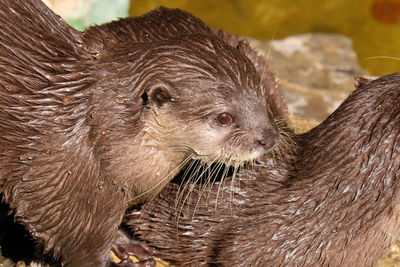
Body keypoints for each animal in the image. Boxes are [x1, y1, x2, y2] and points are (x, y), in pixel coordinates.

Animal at [0, 1, 288, 266]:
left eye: (261, 95)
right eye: (224, 117)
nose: (268, 138)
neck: (94, 128)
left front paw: (125, 243)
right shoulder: (54, 179)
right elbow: (75, 240)